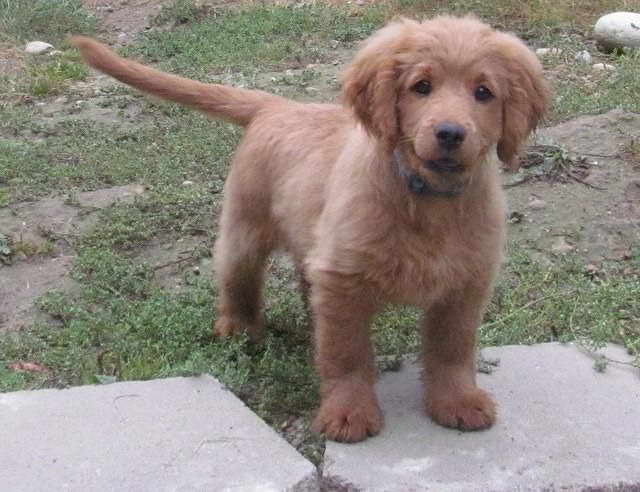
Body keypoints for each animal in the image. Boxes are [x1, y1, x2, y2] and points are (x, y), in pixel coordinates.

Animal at [72, 16, 548, 442]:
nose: (450, 133)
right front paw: (348, 412)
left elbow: (453, 348)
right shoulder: (343, 278)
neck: (426, 197)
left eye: (483, 92)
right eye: (421, 87)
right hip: (245, 229)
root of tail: (277, 105)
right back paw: (238, 330)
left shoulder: (466, 283)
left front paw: (457, 401)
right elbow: (346, 352)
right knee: (236, 279)